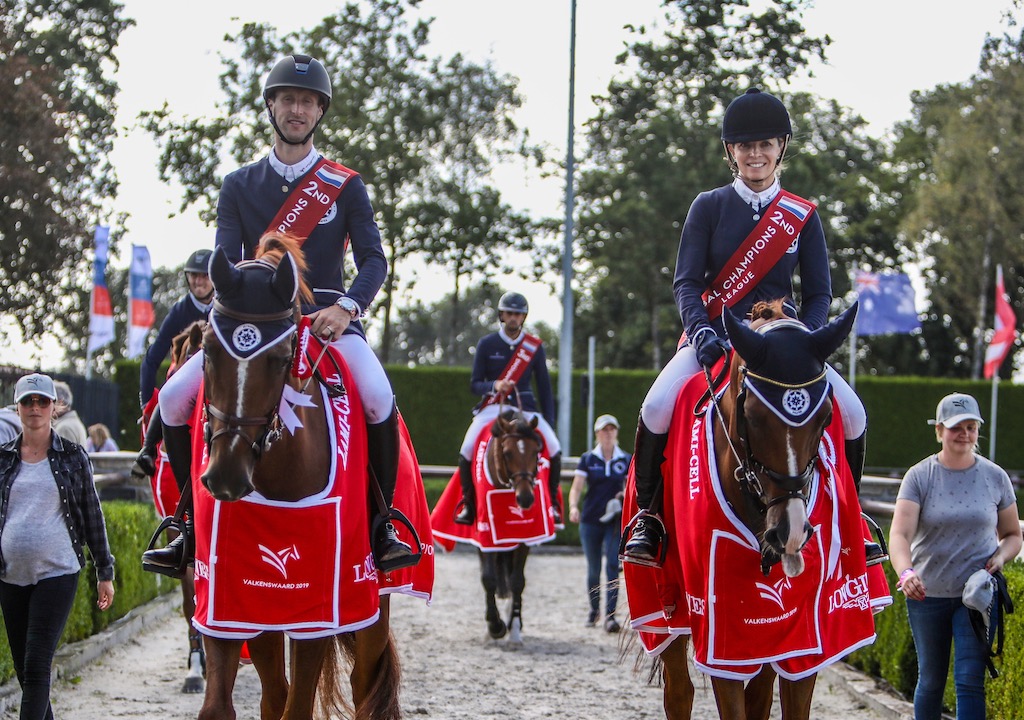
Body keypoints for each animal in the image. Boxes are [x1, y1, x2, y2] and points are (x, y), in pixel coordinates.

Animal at [193, 235, 401, 720]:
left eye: (281, 358)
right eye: (209, 350)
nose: (226, 475)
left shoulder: (322, 608)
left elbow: (300, 704)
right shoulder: (225, 599)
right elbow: (223, 705)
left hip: (371, 601)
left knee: (363, 683)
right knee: (275, 692)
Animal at [479, 407, 544, 643]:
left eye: (536, 452)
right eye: (507, 453)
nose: (525, 498)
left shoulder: (524, 536)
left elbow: (517, 581)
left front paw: (514, 625)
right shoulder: (484, 534)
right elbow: (488, 578)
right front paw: (494, 625)